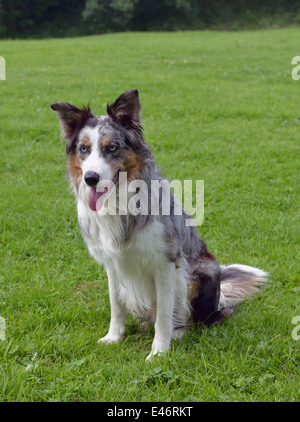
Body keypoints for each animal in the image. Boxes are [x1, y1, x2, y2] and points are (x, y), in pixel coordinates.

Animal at [51, 89, 268, 360]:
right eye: (83, 149)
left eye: (112, 147)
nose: (91, 178)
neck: (119, 203)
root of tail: (221, 299)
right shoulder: (112, 263)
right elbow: (116, 304)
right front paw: (114, 337)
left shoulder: (166, 264)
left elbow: (165, 313)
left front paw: (159, 351)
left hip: (201, 272)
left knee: (196, 319)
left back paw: (178, 332)